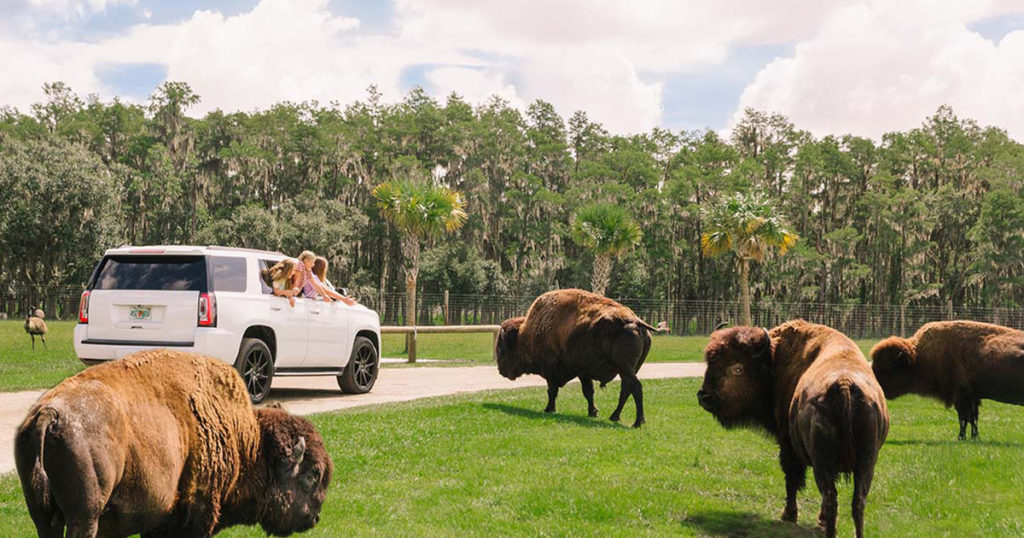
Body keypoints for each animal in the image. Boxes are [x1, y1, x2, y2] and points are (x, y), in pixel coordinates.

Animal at [14, 348, 331, 536]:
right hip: (86, 515)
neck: (249, 442)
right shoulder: (197, 514)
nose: (315, 517)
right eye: (311, 476)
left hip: (43, 515)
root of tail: (50, 413)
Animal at [495, 288, 655, 428]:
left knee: (635, 387)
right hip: (628, 369)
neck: (526, 334)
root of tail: (635, 321)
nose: (500, 370)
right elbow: (588, 392)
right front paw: (593, 412)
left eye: (502, 349)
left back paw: (638, 422)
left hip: (625, 367)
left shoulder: (551, 369)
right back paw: (614, 416)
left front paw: (549, 409)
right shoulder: (583, 372)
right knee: (626, 389)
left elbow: (552, 390)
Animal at [696, 321, 888, 532]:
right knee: (857, 502)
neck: (772, 361)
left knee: (830, 497)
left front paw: (789, 515)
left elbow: (791, 479)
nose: (704, 396)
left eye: (737, 368)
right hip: (866, 463)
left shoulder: (787, 444)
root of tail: (844, 385)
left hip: (823, 463)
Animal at [872, 321, 1024, 438]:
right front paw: (973, 437)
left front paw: (961, 437)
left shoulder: (961, 395)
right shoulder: (971, 397)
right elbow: (973, 418)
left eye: (887, 362)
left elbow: (964, 418)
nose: (875, 383)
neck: (920, 356)